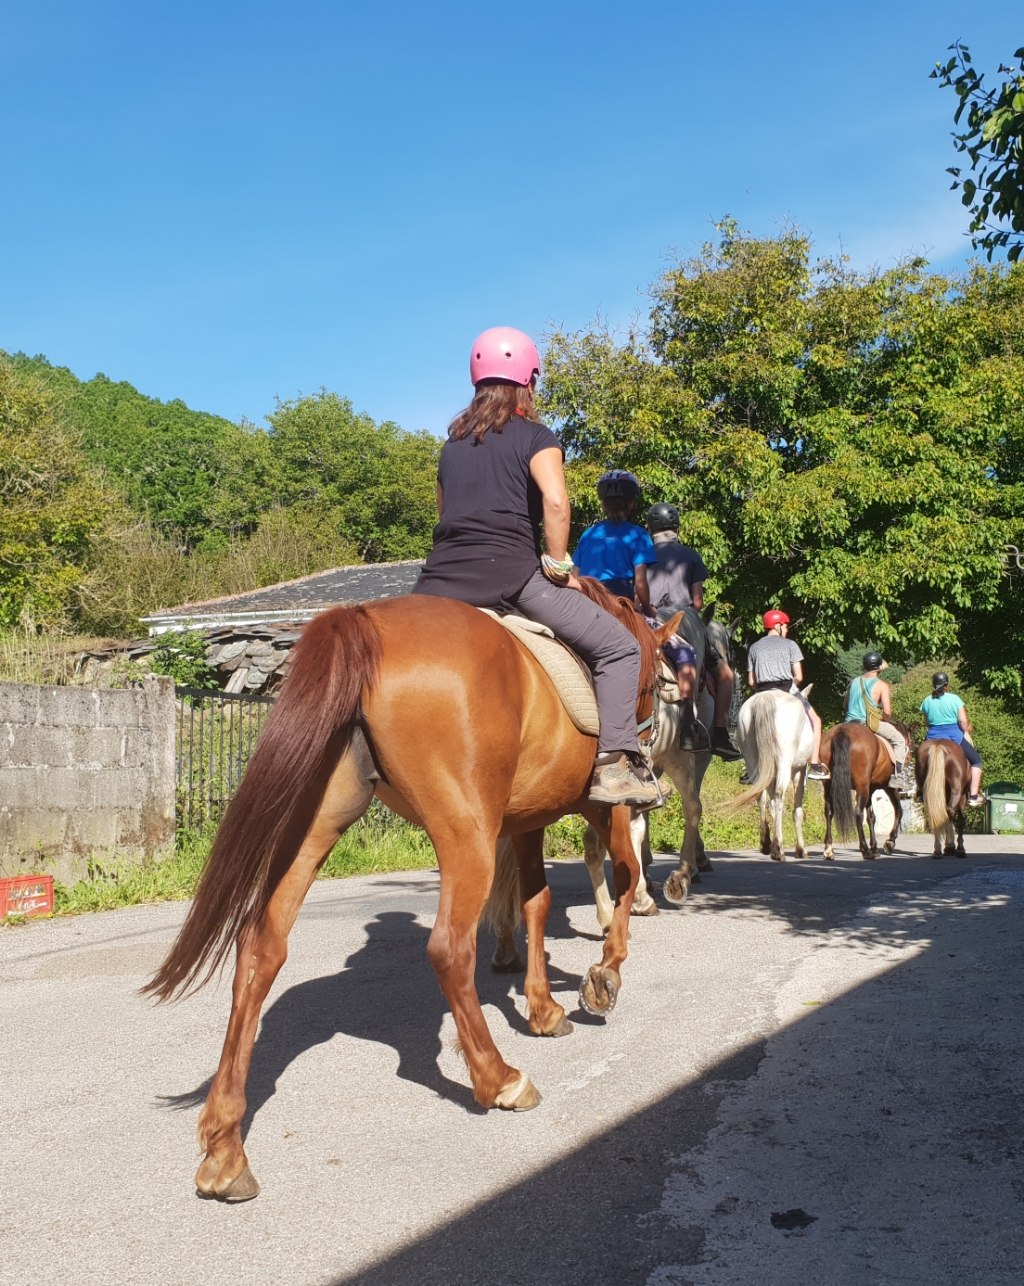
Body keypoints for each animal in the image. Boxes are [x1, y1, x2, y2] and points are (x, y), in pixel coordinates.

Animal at [144, 583, 681, 1201]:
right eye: (652, 679)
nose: (646, 740)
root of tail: (364, 622)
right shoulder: (605, 808)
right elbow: (625, 876)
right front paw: (603, 974)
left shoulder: (528, 820)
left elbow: (536, 903)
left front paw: (544, 1008)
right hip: (465, 831)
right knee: (449, 948)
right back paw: (499, 1078)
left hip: (319, 822)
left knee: (261, 948)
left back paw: (224, 1149)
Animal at [727, 689, 814, 861]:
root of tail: (763, 699)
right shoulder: (800, 770)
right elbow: (796, 811)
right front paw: (801, 849)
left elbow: (772, 806)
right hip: (784, 762)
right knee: (779, 795)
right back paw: (779, 850)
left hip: (753, 760)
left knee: (760, 796)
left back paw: (766, 843)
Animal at [819, 721, 913, 860]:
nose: (909, 760)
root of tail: (842, 731)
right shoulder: (889, 788)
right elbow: (899, 811)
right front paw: (889, 842)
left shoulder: (870, 789)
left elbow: (871, 817)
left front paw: (874, 847)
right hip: (862, 787)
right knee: (858, 813)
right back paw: (865, 850)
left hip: (829, 784)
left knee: (829, 812)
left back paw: (829, 849)